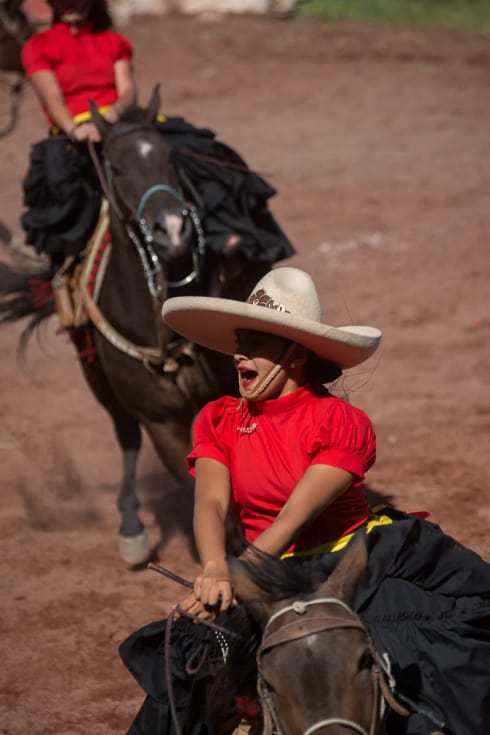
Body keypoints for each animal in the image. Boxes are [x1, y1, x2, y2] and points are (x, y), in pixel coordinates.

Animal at [0, 87, 272, 564]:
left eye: (167, 157)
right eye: (115, 166)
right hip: (99, 383)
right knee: (125, 436)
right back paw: (132, 528)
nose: (173, 230)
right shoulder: (160, 422)